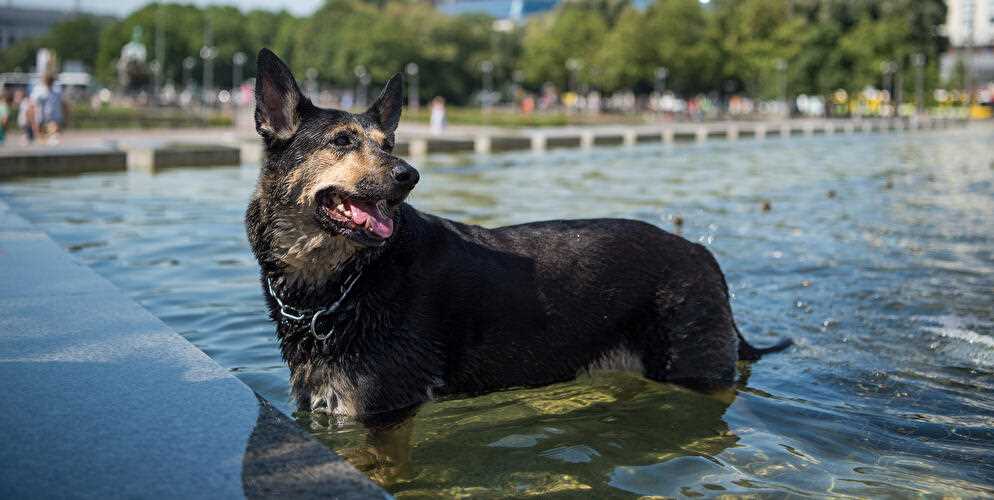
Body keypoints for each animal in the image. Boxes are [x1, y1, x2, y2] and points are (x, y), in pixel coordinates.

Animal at [244, 48, 788, 426]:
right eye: (341, 142)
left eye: (389, 144)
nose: (409, 175)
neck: (342, 283)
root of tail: (699, 252)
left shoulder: (380, 409)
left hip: (692, 371)